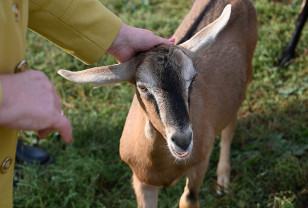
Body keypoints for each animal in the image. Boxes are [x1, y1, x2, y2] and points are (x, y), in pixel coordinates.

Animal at [57, 0, 258, 207]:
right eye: (142, 87)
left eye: (193, 78)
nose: (183, 141)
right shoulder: (141, 181)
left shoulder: (198, 166)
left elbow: (188, 198)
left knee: (230, 124)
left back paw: (223, 181)